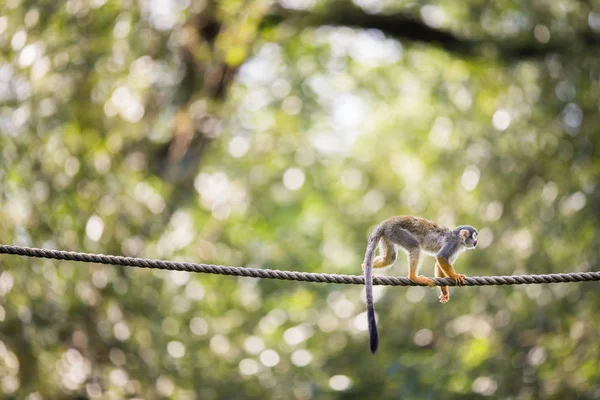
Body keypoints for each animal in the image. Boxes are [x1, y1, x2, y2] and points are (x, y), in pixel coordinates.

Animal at [360, 216, 478, 354]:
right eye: (474, 236)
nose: (476, 242)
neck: (459, 240)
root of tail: (386, 222)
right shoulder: (452, 243)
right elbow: (441, 257)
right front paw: (455, 276)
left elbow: (439, 263)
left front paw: (444, 291)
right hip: (396, 231)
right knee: (415, 246)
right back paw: (413, 277)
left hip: (388, 235)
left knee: (390, 257)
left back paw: (365, 267)